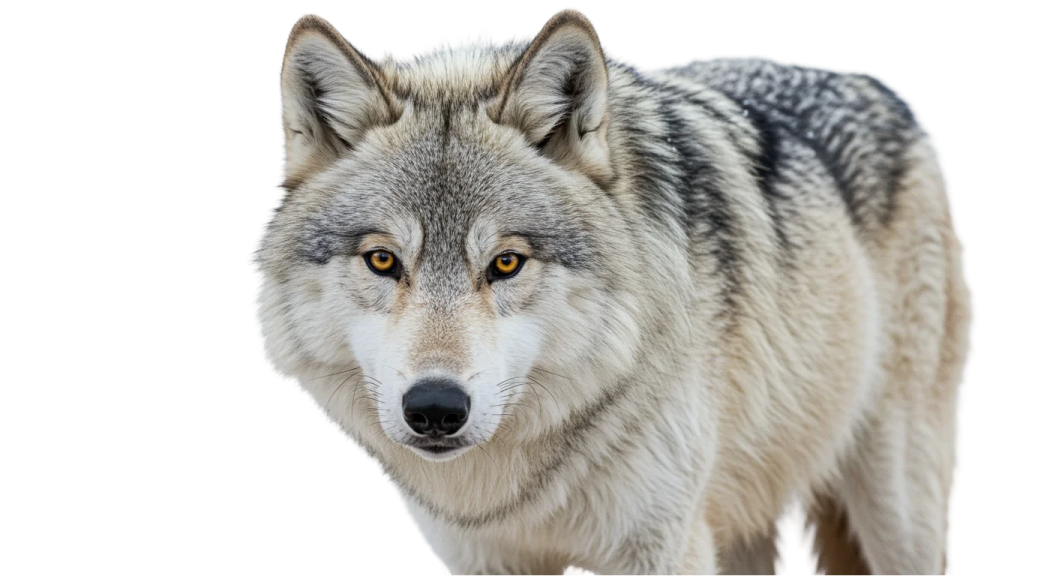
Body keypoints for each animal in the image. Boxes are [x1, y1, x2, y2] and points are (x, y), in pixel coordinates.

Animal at [248, 7, 975, 575]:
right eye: (382, 260)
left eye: (506, 263)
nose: (434, 407)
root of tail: (884, 89)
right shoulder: (487, 558)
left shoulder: (664, 547)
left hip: (897, 508)